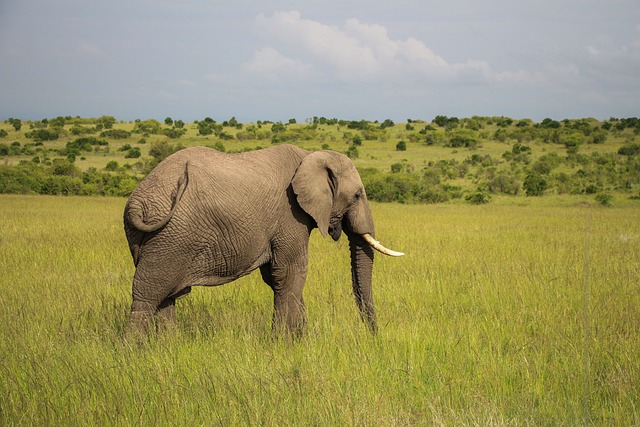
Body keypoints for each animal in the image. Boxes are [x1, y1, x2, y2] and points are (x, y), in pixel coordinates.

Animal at [123, 145, 402, 336]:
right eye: (357, 195)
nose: (374, 336)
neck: (310, 155)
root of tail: (137, 201)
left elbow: (277, 278)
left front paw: (301, 339)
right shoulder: (290, 215)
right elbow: (291, 273)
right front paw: (284, 343)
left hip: (151, 237)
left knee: (166, 295)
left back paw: (168, 345)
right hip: (172, 235)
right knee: (148, 293)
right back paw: (133, 351)